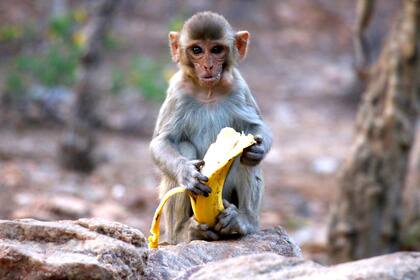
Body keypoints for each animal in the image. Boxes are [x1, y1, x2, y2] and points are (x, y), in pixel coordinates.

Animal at [150, 11, 272, 243]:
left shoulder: (239, 86)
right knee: (184, 146)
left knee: (245, 159)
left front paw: (257, 149)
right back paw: (185, 231)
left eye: (216, 50)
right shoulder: (177, 91)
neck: (208, 91)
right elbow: (161, 141)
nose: (207, 66)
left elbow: (255, 126)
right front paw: (186, 172)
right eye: (197, 50)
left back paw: (243, 221)